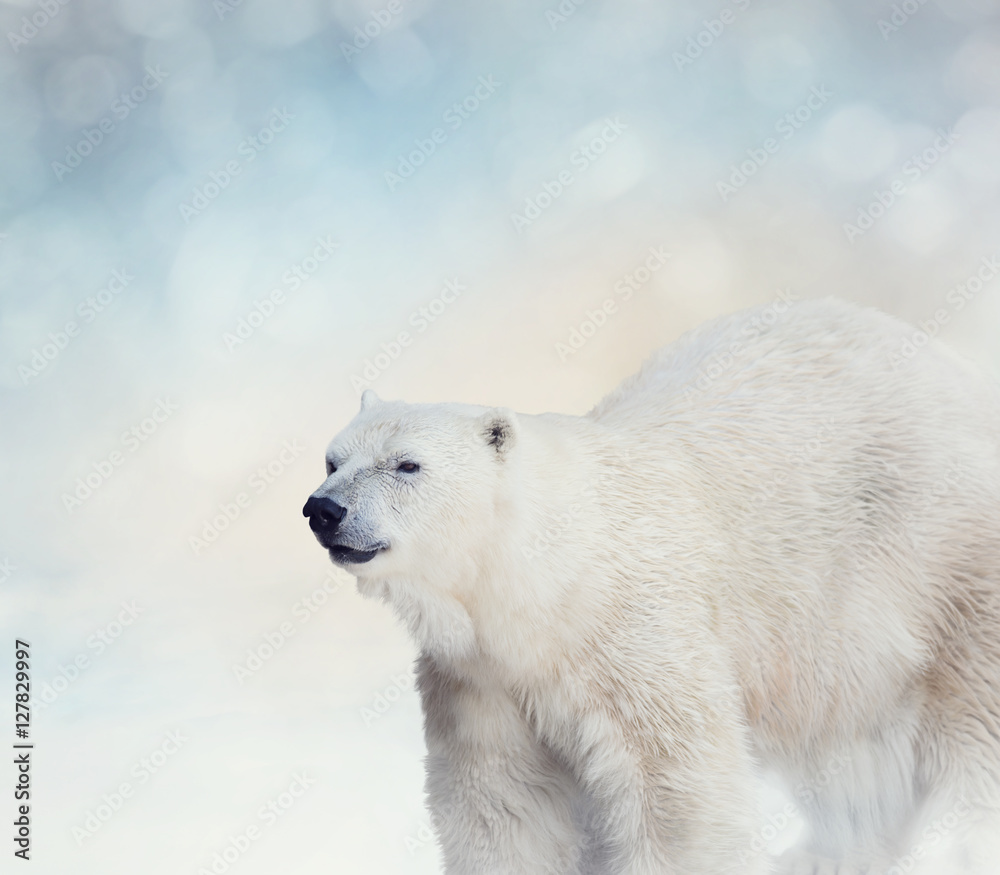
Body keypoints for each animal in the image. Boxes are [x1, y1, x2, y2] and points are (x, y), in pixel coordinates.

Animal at [302, 298, 1000, 872]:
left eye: (407, 465)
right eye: (333, 459)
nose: (323, 509)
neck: (545, 585)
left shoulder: (636, 633)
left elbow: (676, 789)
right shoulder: (480, 676)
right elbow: (504, 799)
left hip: (941, 561)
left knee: (972, 719)